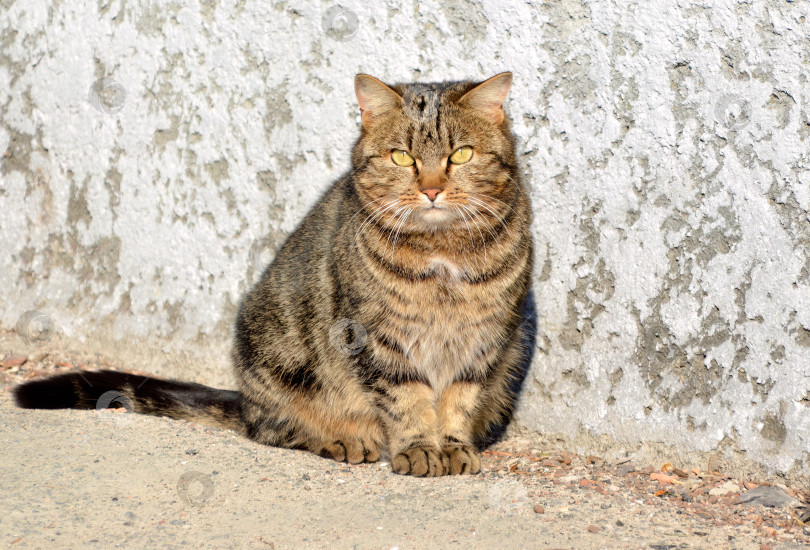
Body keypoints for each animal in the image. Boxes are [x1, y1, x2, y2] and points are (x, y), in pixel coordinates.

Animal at [15, 72, 532, 478]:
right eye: (402, 157)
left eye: (461, 155)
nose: (431, 189)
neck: (442, 254)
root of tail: (244, 398)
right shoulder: (376, 339)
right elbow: (407, 401)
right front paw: (422, 448)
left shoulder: (484, 341)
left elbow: (459, 401)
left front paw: (454, 447)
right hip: (275, 358)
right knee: (272, 430)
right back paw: (342, 440)